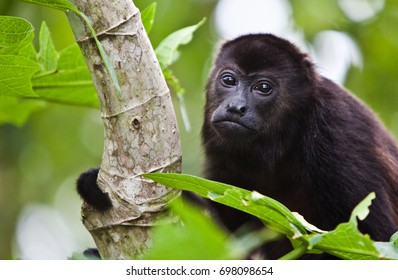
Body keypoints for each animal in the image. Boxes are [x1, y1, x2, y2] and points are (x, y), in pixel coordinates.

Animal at [77, 34, 398, 260]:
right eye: (229, 80)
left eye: (264, 88)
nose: (236, 107)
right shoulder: (222, 158)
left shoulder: (339, 135)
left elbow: (376, 237)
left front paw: (195, 209)